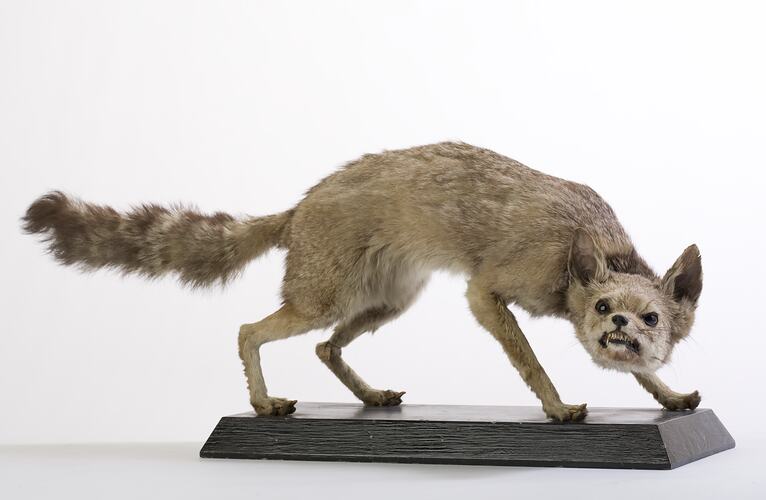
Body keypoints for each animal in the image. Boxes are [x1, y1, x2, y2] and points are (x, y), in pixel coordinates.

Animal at [22, 142, 703, 421]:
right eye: (604, 308)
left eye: (651, 318)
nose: (619, 327)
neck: (590, 249)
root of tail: (299, 207)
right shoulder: (491, 289)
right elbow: (531, 361)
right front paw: (557, 406)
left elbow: (645, 376)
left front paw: (667, 396)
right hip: (322, 296)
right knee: (248, 330)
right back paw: (262, 402)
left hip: (388, 300)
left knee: (326, 347)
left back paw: (368, 396)